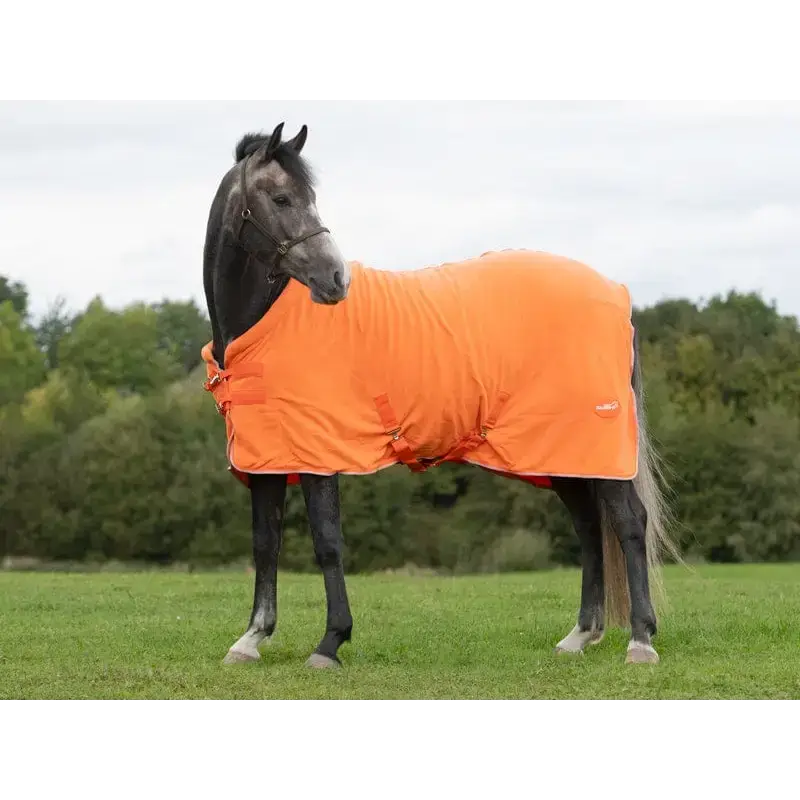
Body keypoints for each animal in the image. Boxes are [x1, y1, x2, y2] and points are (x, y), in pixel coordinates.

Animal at [200, 121, 680, 670]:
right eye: (281, 198)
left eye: (309, 197)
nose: (336, 278)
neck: (268, 324)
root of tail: (618, 294)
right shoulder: (267, 459)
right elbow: (266, 542)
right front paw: (251, 638)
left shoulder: (319, 455)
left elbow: (327, 542)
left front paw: (330, 643)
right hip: (563, 455)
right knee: (588, 527)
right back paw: (580, 635)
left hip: (594, 447)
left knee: (628, 523)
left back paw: (641, 640)